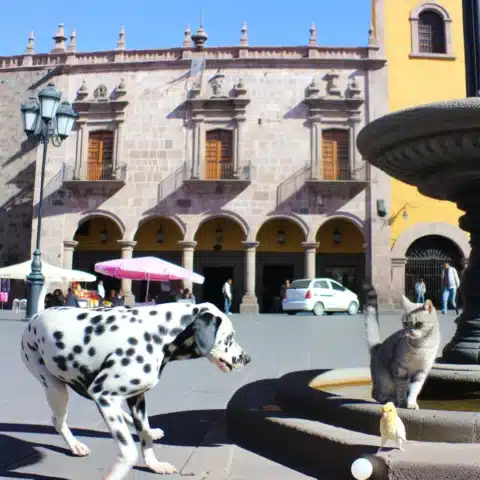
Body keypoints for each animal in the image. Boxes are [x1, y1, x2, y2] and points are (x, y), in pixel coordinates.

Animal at [21, 304, 251, 480]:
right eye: (230, 337)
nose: (247, 358)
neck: (157, 334)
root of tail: (35, 316)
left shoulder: (135, 398)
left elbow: (145, 436)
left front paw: (154, 464)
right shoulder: (104, 395)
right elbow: (129, 451)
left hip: (85, 387)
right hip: (57, 390)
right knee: (57, 421)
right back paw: (75, 445)